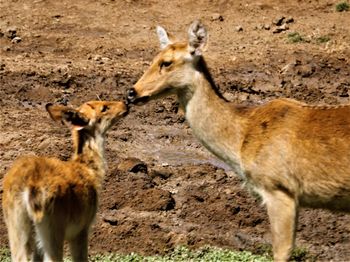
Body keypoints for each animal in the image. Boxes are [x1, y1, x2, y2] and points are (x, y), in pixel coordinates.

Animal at [2, 101, 128, 262]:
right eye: (104, 108)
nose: (125, 104)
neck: (90, 171)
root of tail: (29, 186)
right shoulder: (82, 227)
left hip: (15, 224)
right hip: (53, 224)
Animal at [127, 19, 350, 260]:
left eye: (166, 62)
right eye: (153, 58)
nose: (131, 93)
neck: (242, 139)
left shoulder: (279, 188)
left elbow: (281, 252)